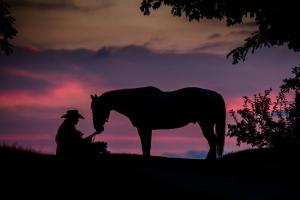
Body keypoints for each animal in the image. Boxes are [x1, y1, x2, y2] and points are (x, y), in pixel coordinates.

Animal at [91, 86, 225, 159]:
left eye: (97, 108)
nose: (97, 128)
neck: (135, 100)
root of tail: (216, 95)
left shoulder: (144, 127)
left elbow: (145, 145)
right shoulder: (146, 128)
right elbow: (146, 145)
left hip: (206, 124)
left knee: (213, 141)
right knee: (213, 142)